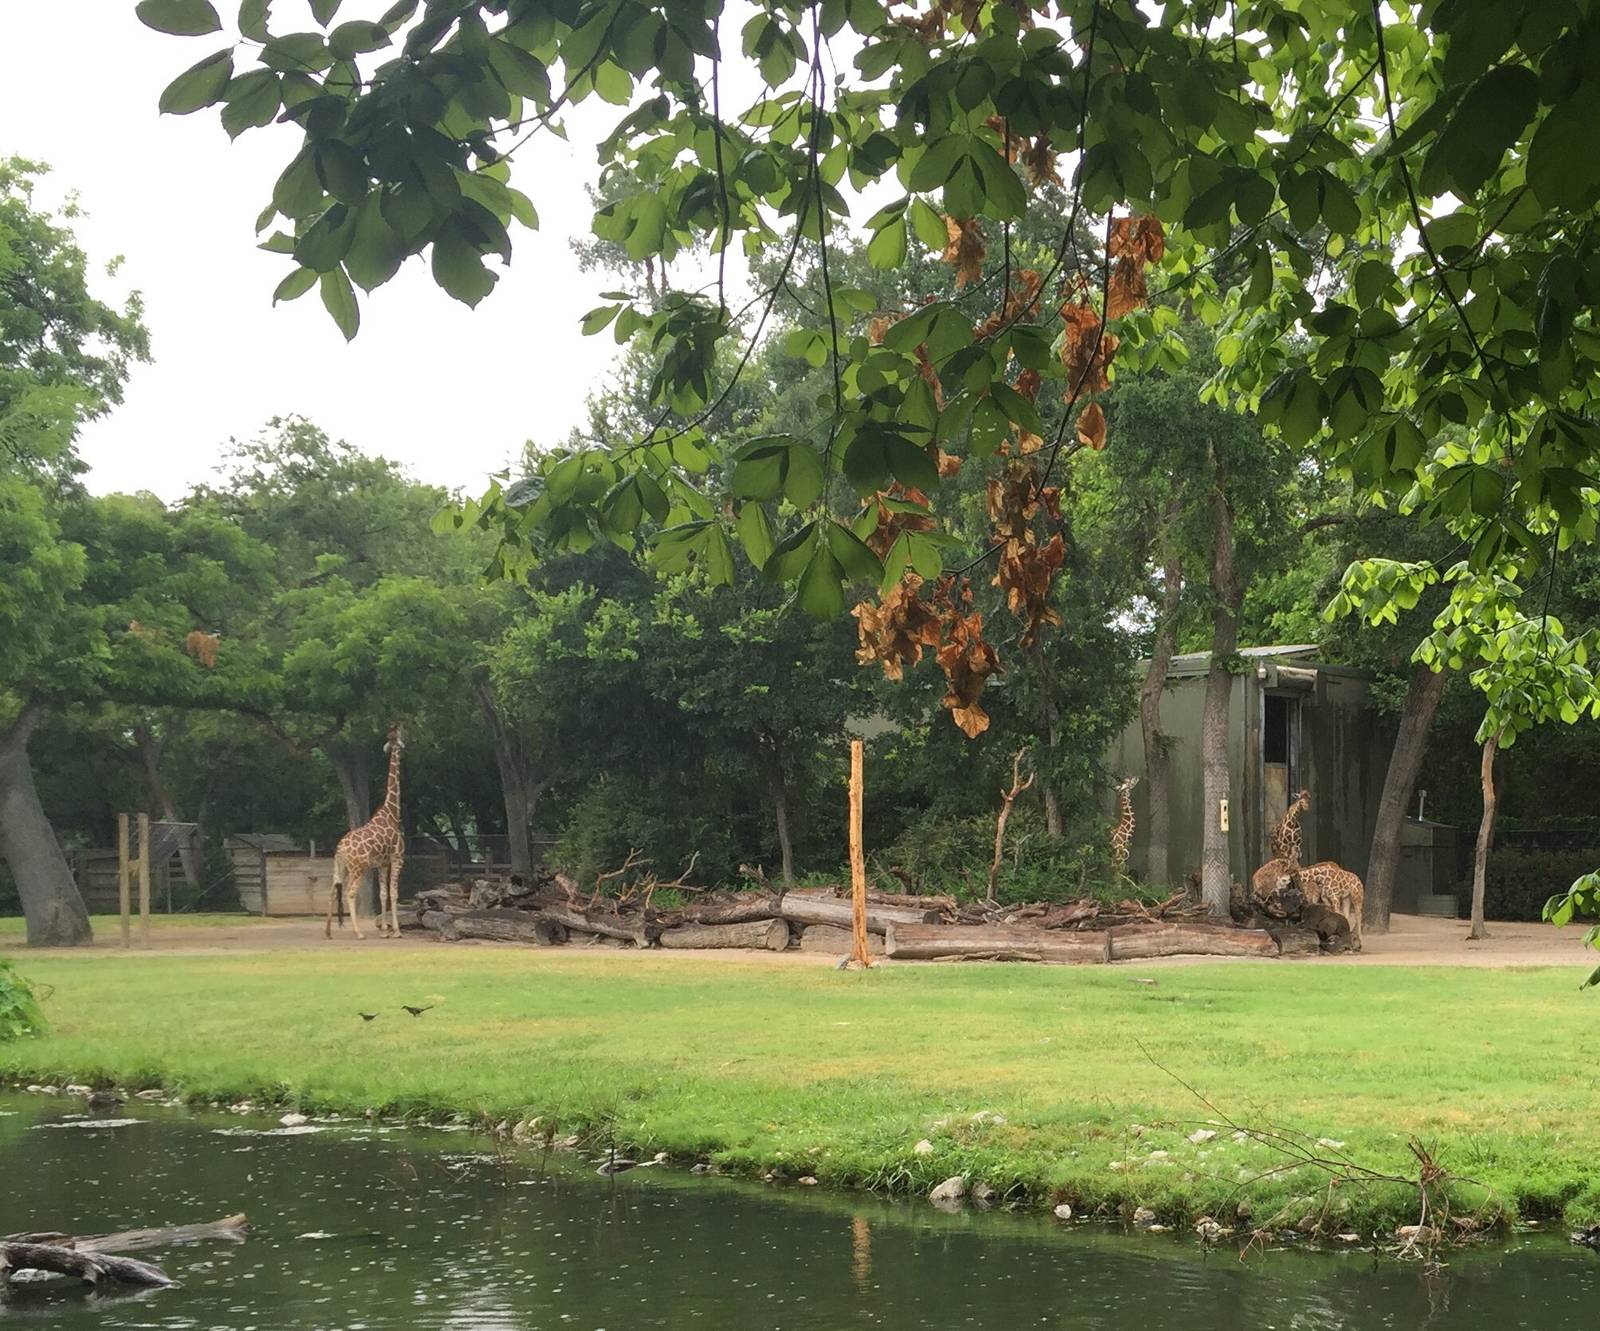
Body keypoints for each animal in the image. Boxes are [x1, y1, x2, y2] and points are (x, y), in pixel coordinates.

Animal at [325, 723, 406, 941]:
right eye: (401, 736)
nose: (403, 746)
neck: (392, 812)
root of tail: (340, 849)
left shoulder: (382, 863)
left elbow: (383, 894)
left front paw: (385, 930)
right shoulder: (397, 858)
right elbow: (394, 893)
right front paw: (396, 931)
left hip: (340, 867)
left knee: (332, 891)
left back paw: (328, 932)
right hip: (358, 868)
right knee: (350, 893)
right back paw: (358, 932)